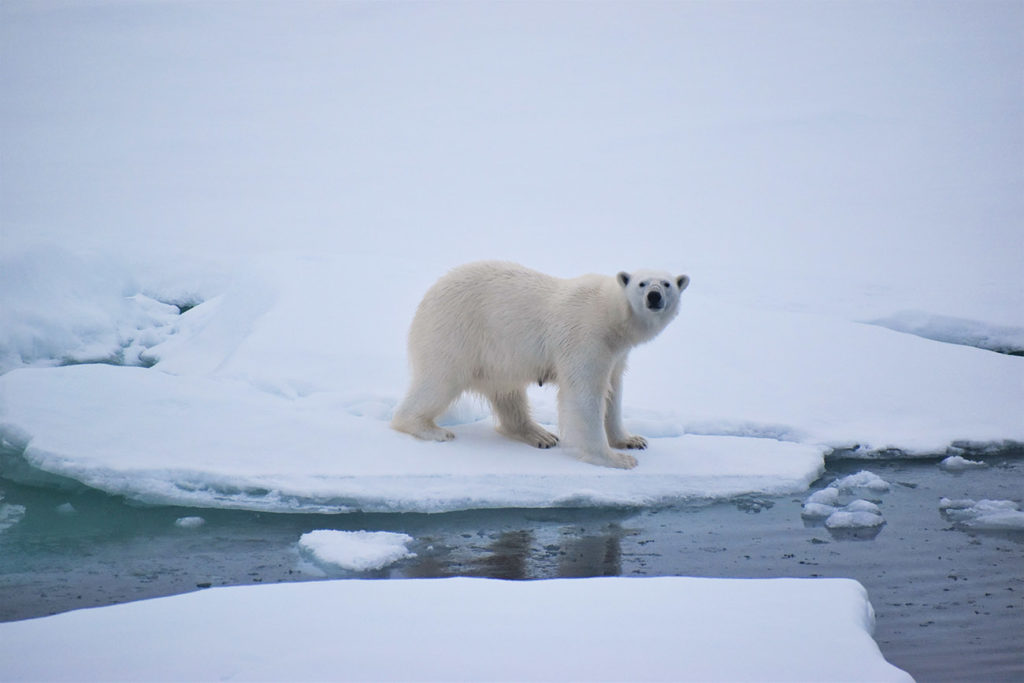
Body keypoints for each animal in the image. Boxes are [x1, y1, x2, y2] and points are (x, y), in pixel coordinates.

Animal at [389, 262, 688, 471]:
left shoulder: (616, 353)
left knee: (508, 394)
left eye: (667, 284)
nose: (654, 296)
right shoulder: (585, 338)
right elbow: (584, 395)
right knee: (439, 380)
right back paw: (431, 428)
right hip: (456, 333)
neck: (609, 314)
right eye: (641, 283)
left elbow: (613, 392)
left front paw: (632, 440)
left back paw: (539, 434)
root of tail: (427, 298)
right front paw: (615, 459)